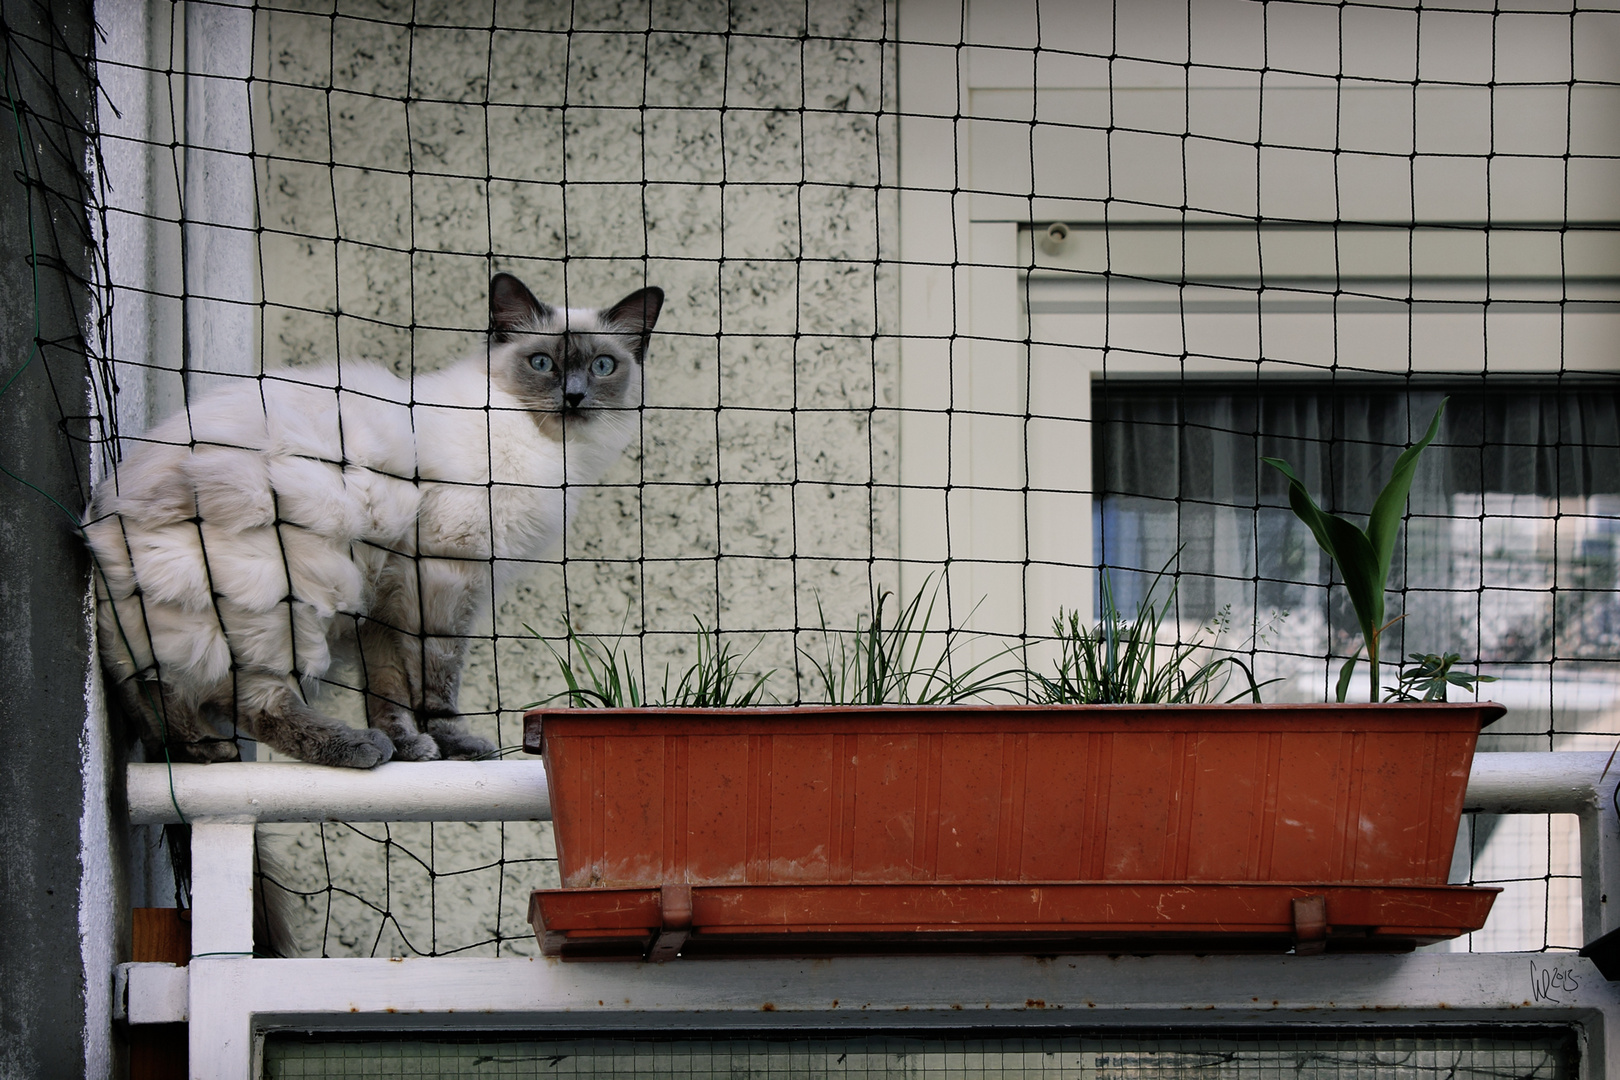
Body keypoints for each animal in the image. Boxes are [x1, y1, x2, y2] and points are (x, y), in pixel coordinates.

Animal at [80, 278, 664, 767]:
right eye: (541, 362)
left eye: (603, 367)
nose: (573, 397)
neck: (541, 445)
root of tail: (100, 529)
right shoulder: (443, 577)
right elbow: (436, 682)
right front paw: (450, 745)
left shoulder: (385, 600)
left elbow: (389, 688)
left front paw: (413, 749)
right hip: (293, 596)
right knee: (256, 703)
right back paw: (355, 748)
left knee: (155, 691)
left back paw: (202, 751)